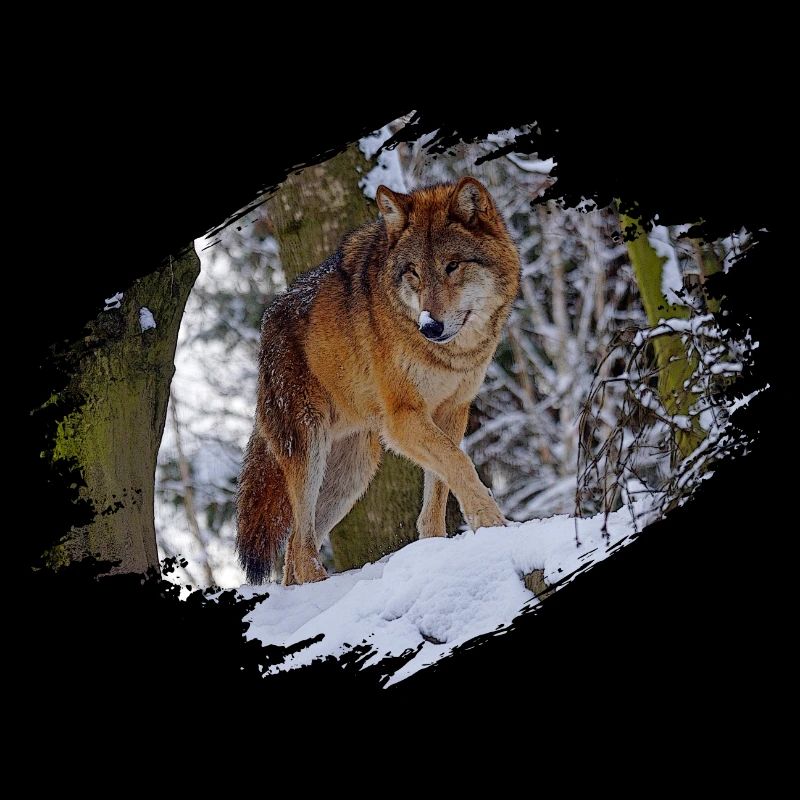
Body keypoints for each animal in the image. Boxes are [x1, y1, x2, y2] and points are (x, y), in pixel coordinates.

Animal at [236, 177, 521, 585]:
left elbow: (440, 486)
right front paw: (492, 523)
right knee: (301, 546)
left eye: (452, 266)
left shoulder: (452, 412)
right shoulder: (403, 418)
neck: (451, 355)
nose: (430, 326)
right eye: (413, 271)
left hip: (352, 473)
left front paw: (437, 547)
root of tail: (267, 325)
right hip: (310, 451)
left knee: (294, 550)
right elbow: (460, 465)